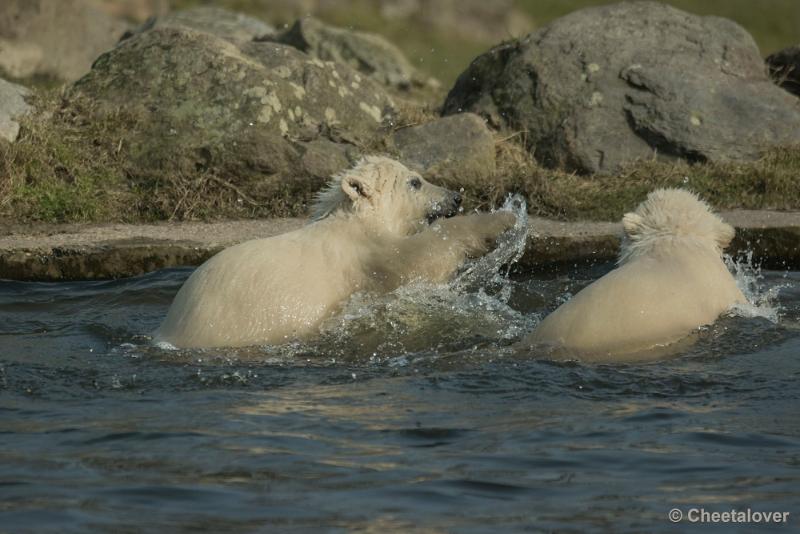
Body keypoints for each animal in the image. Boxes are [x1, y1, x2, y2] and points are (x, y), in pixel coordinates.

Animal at [155, 157, 516, 350]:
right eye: (415, 181)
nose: (455, 197)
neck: (353, 222)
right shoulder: (363, 258)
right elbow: (418, 259)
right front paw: (503, 220)